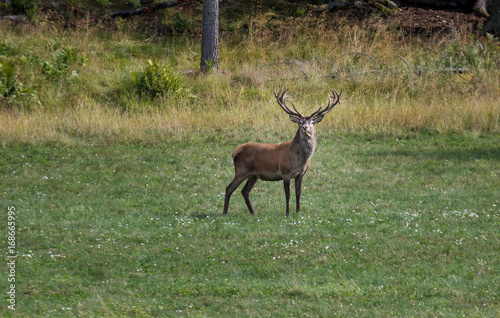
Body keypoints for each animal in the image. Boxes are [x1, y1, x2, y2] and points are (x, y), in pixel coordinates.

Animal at [225, 87, 342, 216]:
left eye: (312, 122)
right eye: (300, 122)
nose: (305, 127)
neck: (300, 160)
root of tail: (234, 152)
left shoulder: (301, 174)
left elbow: (298, 194)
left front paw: (298, 212)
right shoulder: (285, 172)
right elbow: (287, 195)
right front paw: (287, 213)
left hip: (253, 175)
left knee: (245, 191)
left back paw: (253, 213)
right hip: (241, 170)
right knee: (229, 188)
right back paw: (225, 212)